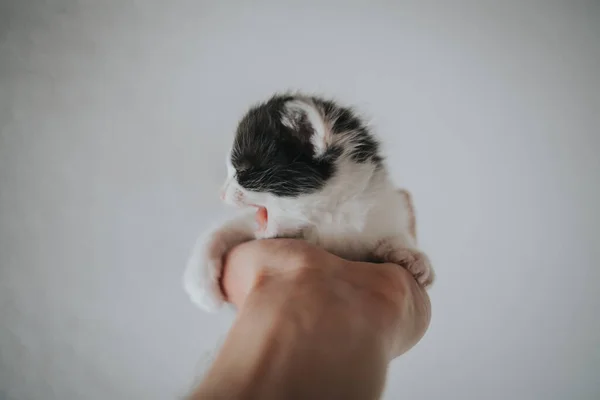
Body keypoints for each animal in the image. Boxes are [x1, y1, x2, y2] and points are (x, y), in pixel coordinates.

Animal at [185, 94, 434, 312]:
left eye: (242, 171)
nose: (221, 194)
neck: (324, 221)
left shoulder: (381, 214)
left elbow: (395, 235)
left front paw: (412, 257)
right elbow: (219, 231)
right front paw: (199, 284)